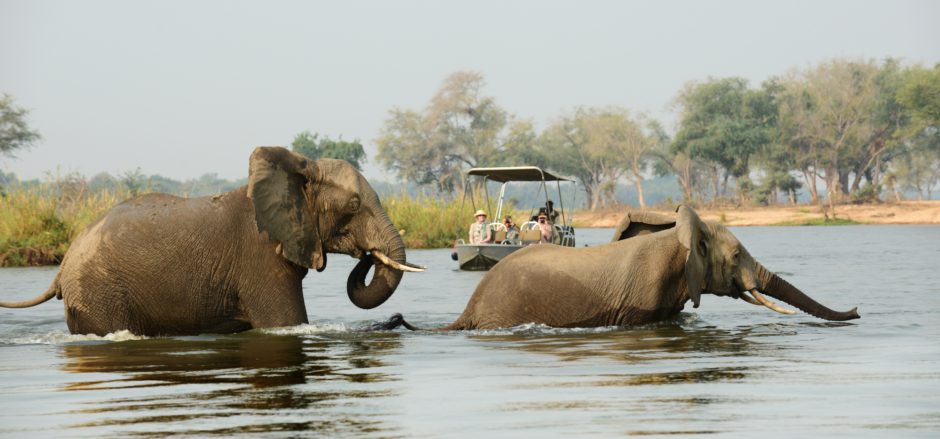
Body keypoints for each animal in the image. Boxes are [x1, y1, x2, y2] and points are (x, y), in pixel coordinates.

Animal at [0, 148, 422, 336]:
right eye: (353, 206)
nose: (368, 254)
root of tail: (61, 267)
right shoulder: (260, 260)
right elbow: (285, 324)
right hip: (98, 291)